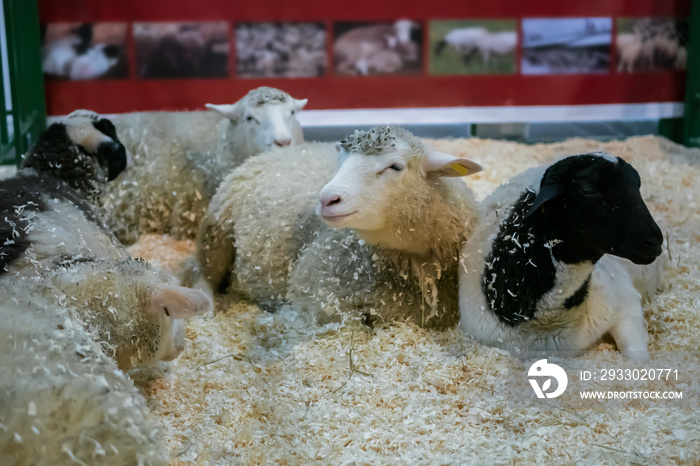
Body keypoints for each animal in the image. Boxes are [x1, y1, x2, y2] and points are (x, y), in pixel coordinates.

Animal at [197, 124, 482, 328]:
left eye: (396, 166)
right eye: (341, 162)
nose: (326, 199)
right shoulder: (314, 289)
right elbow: (352, 322)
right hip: (216, 229)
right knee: (202, 274)